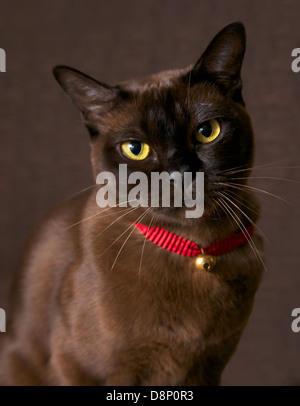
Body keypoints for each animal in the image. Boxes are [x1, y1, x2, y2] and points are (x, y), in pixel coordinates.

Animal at [0, 23, 262, 386]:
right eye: (135, 148)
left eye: (207, 131)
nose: (181, 174)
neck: (194, 249)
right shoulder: (80, 369)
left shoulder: (209, 368)